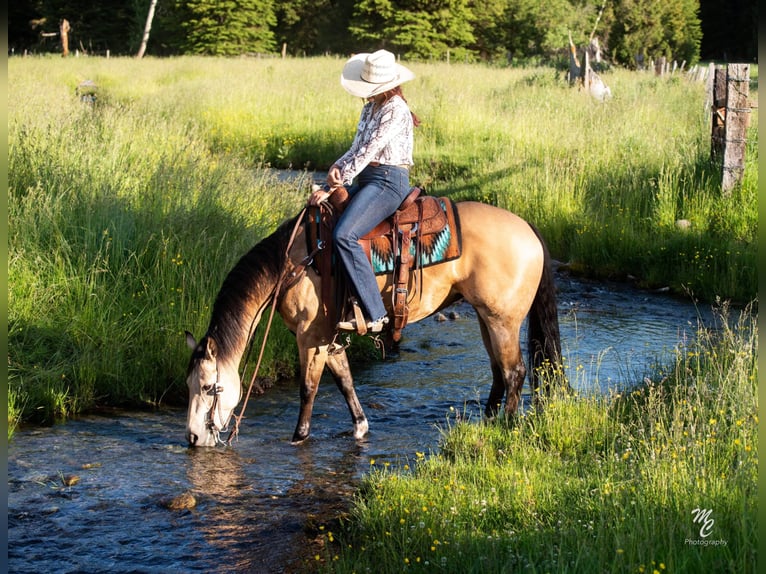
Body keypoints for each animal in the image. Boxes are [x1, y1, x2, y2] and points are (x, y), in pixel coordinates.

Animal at [185, 198, 564, 450]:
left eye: (209, 387)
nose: (192, 437)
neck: (294, 264)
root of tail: (528, 228)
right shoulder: (328, 339)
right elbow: (345, 382)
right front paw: (360, 428)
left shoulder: (310, 338)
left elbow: (308, 389)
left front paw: (299, 438)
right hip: (487, 318)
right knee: (499, 372)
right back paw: (486, 421)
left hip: (503, 321)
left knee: (514, 371)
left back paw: (507, 427)